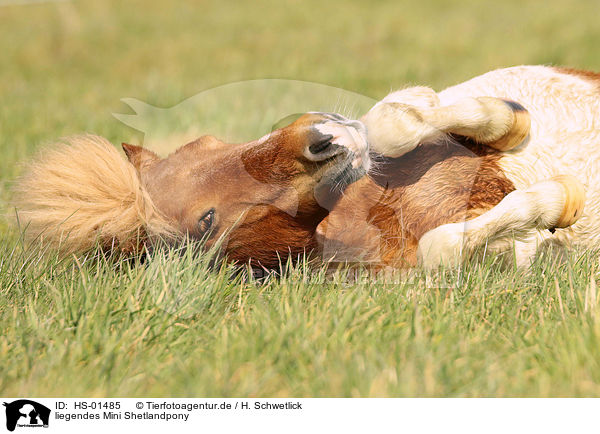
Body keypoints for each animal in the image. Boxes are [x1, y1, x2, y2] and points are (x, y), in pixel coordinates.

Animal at [14, 65, 596, 270]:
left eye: (207, 143)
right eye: (207, 222)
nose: (319, 139)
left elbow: (394, 118)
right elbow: (447, 247)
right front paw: (562, 202)